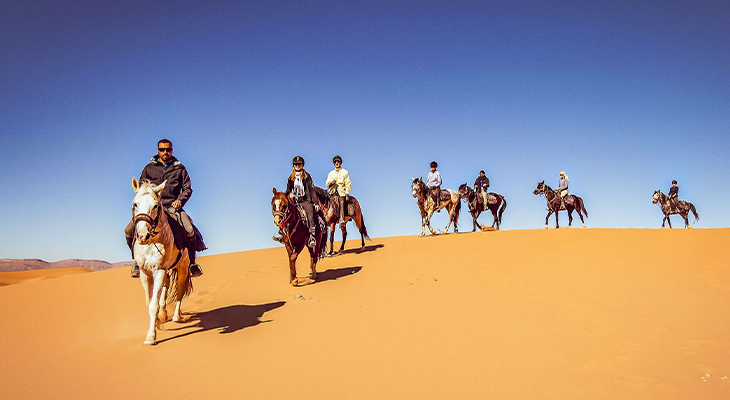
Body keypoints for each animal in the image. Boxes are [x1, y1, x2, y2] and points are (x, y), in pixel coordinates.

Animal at [131, 177, 192, 346]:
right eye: (135, 204)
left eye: (155, 205)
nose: (142, 235)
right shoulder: (145, 273)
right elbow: (150, 302)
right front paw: (158, 321)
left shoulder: (159, 270)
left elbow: (153, 305)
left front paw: (151, 336)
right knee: (166, 287)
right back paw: (164, 314)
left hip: (183, 267)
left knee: (179, 291)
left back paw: (177, 316)